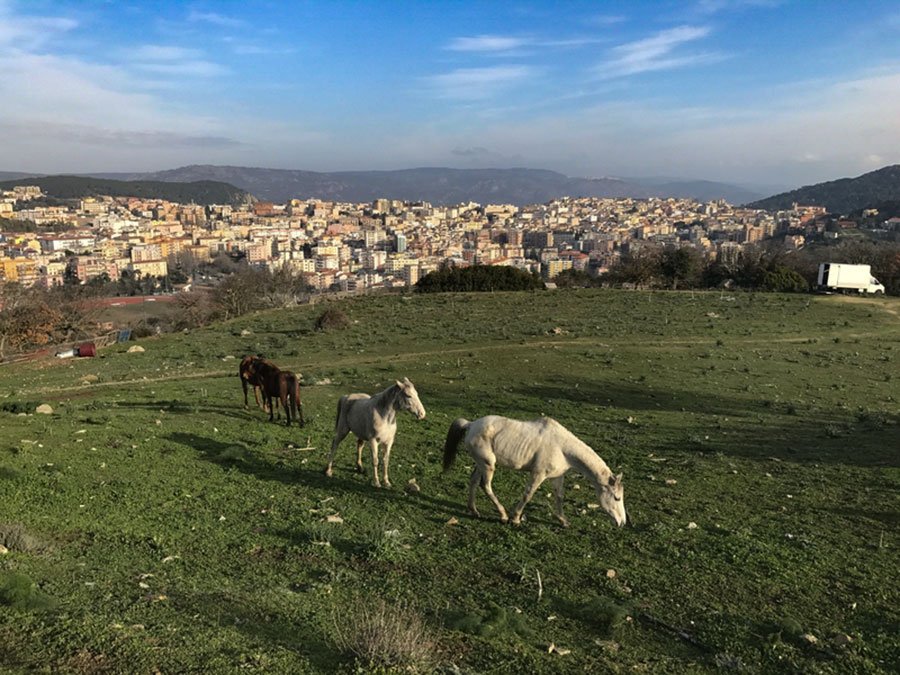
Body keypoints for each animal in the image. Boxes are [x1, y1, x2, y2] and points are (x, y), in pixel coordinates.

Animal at [442, 418, 624, 528]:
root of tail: (471, 424)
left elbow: (560, 497)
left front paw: (563, 520)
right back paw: (503, 515)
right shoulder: (538, 474)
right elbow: (528, 495)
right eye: (617, 498)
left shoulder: (557, 477)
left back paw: (474, 510)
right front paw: (515, 518)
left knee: (473, 481)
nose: (622, 522)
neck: (563, 448)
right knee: (485, 485)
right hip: (488, 465)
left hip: (480, 464)